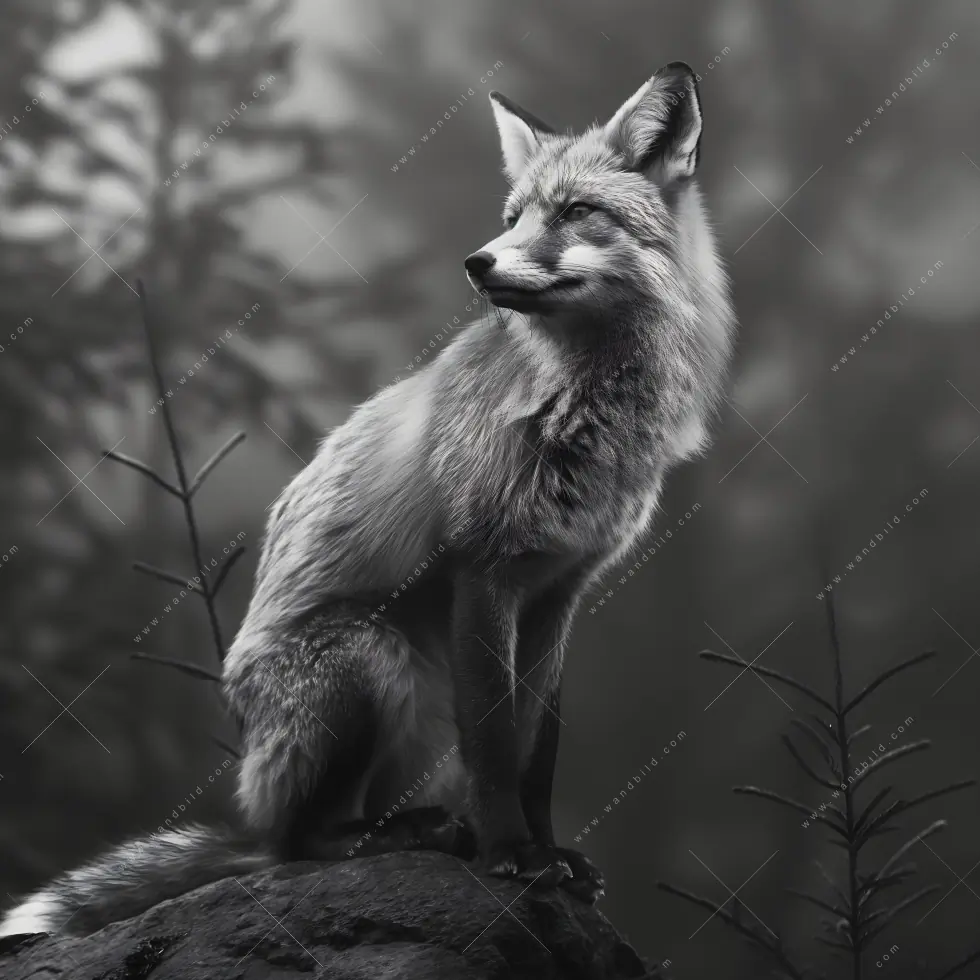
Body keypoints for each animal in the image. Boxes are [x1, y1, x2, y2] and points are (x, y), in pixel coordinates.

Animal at [1, 60, 735, 939]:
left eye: (575, 212)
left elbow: (537, 749)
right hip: (371, 658)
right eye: (513, 218)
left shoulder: (559, 590)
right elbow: (495, 746)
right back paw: (390, 839)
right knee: (299, 843)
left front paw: (550, 851)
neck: (581, 411)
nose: (477, 263)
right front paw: (512, 856)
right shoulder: (482, 571)